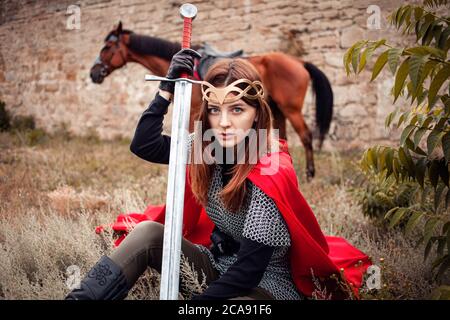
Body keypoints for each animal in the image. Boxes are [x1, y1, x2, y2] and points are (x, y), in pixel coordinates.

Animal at [89, 23, 332, 180]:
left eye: (107, 48)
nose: (94, 73)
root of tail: (299, 62)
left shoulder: (193, 111)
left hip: (291, 108)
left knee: (306, 136)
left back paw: (310, 175)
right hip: (277, 108)